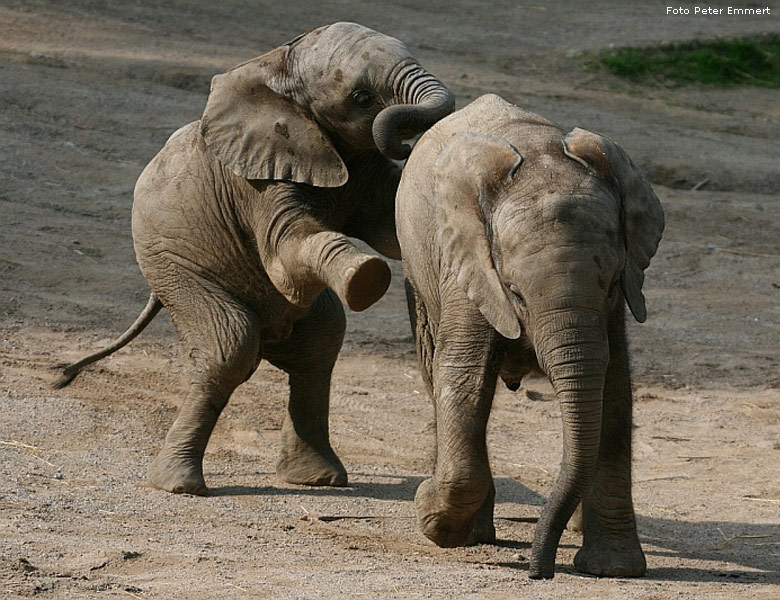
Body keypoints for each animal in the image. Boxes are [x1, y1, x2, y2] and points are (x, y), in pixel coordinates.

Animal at [54, 21, 454, 494]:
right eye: (361, 97)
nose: (408, 148)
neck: (278, 66)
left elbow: (390, 226)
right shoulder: (256, 179)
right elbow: (285, 250)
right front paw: (366, 277)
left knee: (320, 342)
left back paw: (317, 478)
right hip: (170, 266)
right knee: (230, 346)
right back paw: (179, 484)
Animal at [396, 95, 664, 580]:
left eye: (612, 283)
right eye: (514, 291)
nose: (540, 571)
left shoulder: (614, 308)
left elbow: (615, 390)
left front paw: (612, 568)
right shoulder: (468, 268)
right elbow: (462, 379)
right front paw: (431, 513)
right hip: (417, 274)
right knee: (436, 372)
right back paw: (473, 531)